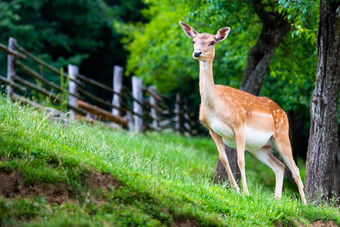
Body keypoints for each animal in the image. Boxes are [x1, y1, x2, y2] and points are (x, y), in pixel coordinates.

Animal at [179, 21, 306, 205]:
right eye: (193, 41)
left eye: (212, 42)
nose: (197, 53)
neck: (216, 106)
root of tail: (283, 112)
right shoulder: (212, 130)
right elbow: (224, 159)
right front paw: (236, 190)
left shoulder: (238, 124)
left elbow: (240, 161)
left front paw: (245, 192)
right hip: (259, 147)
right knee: (279, 166)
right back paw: (277, 199)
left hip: (282, 135)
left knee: (295, 169)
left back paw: (305, 204)